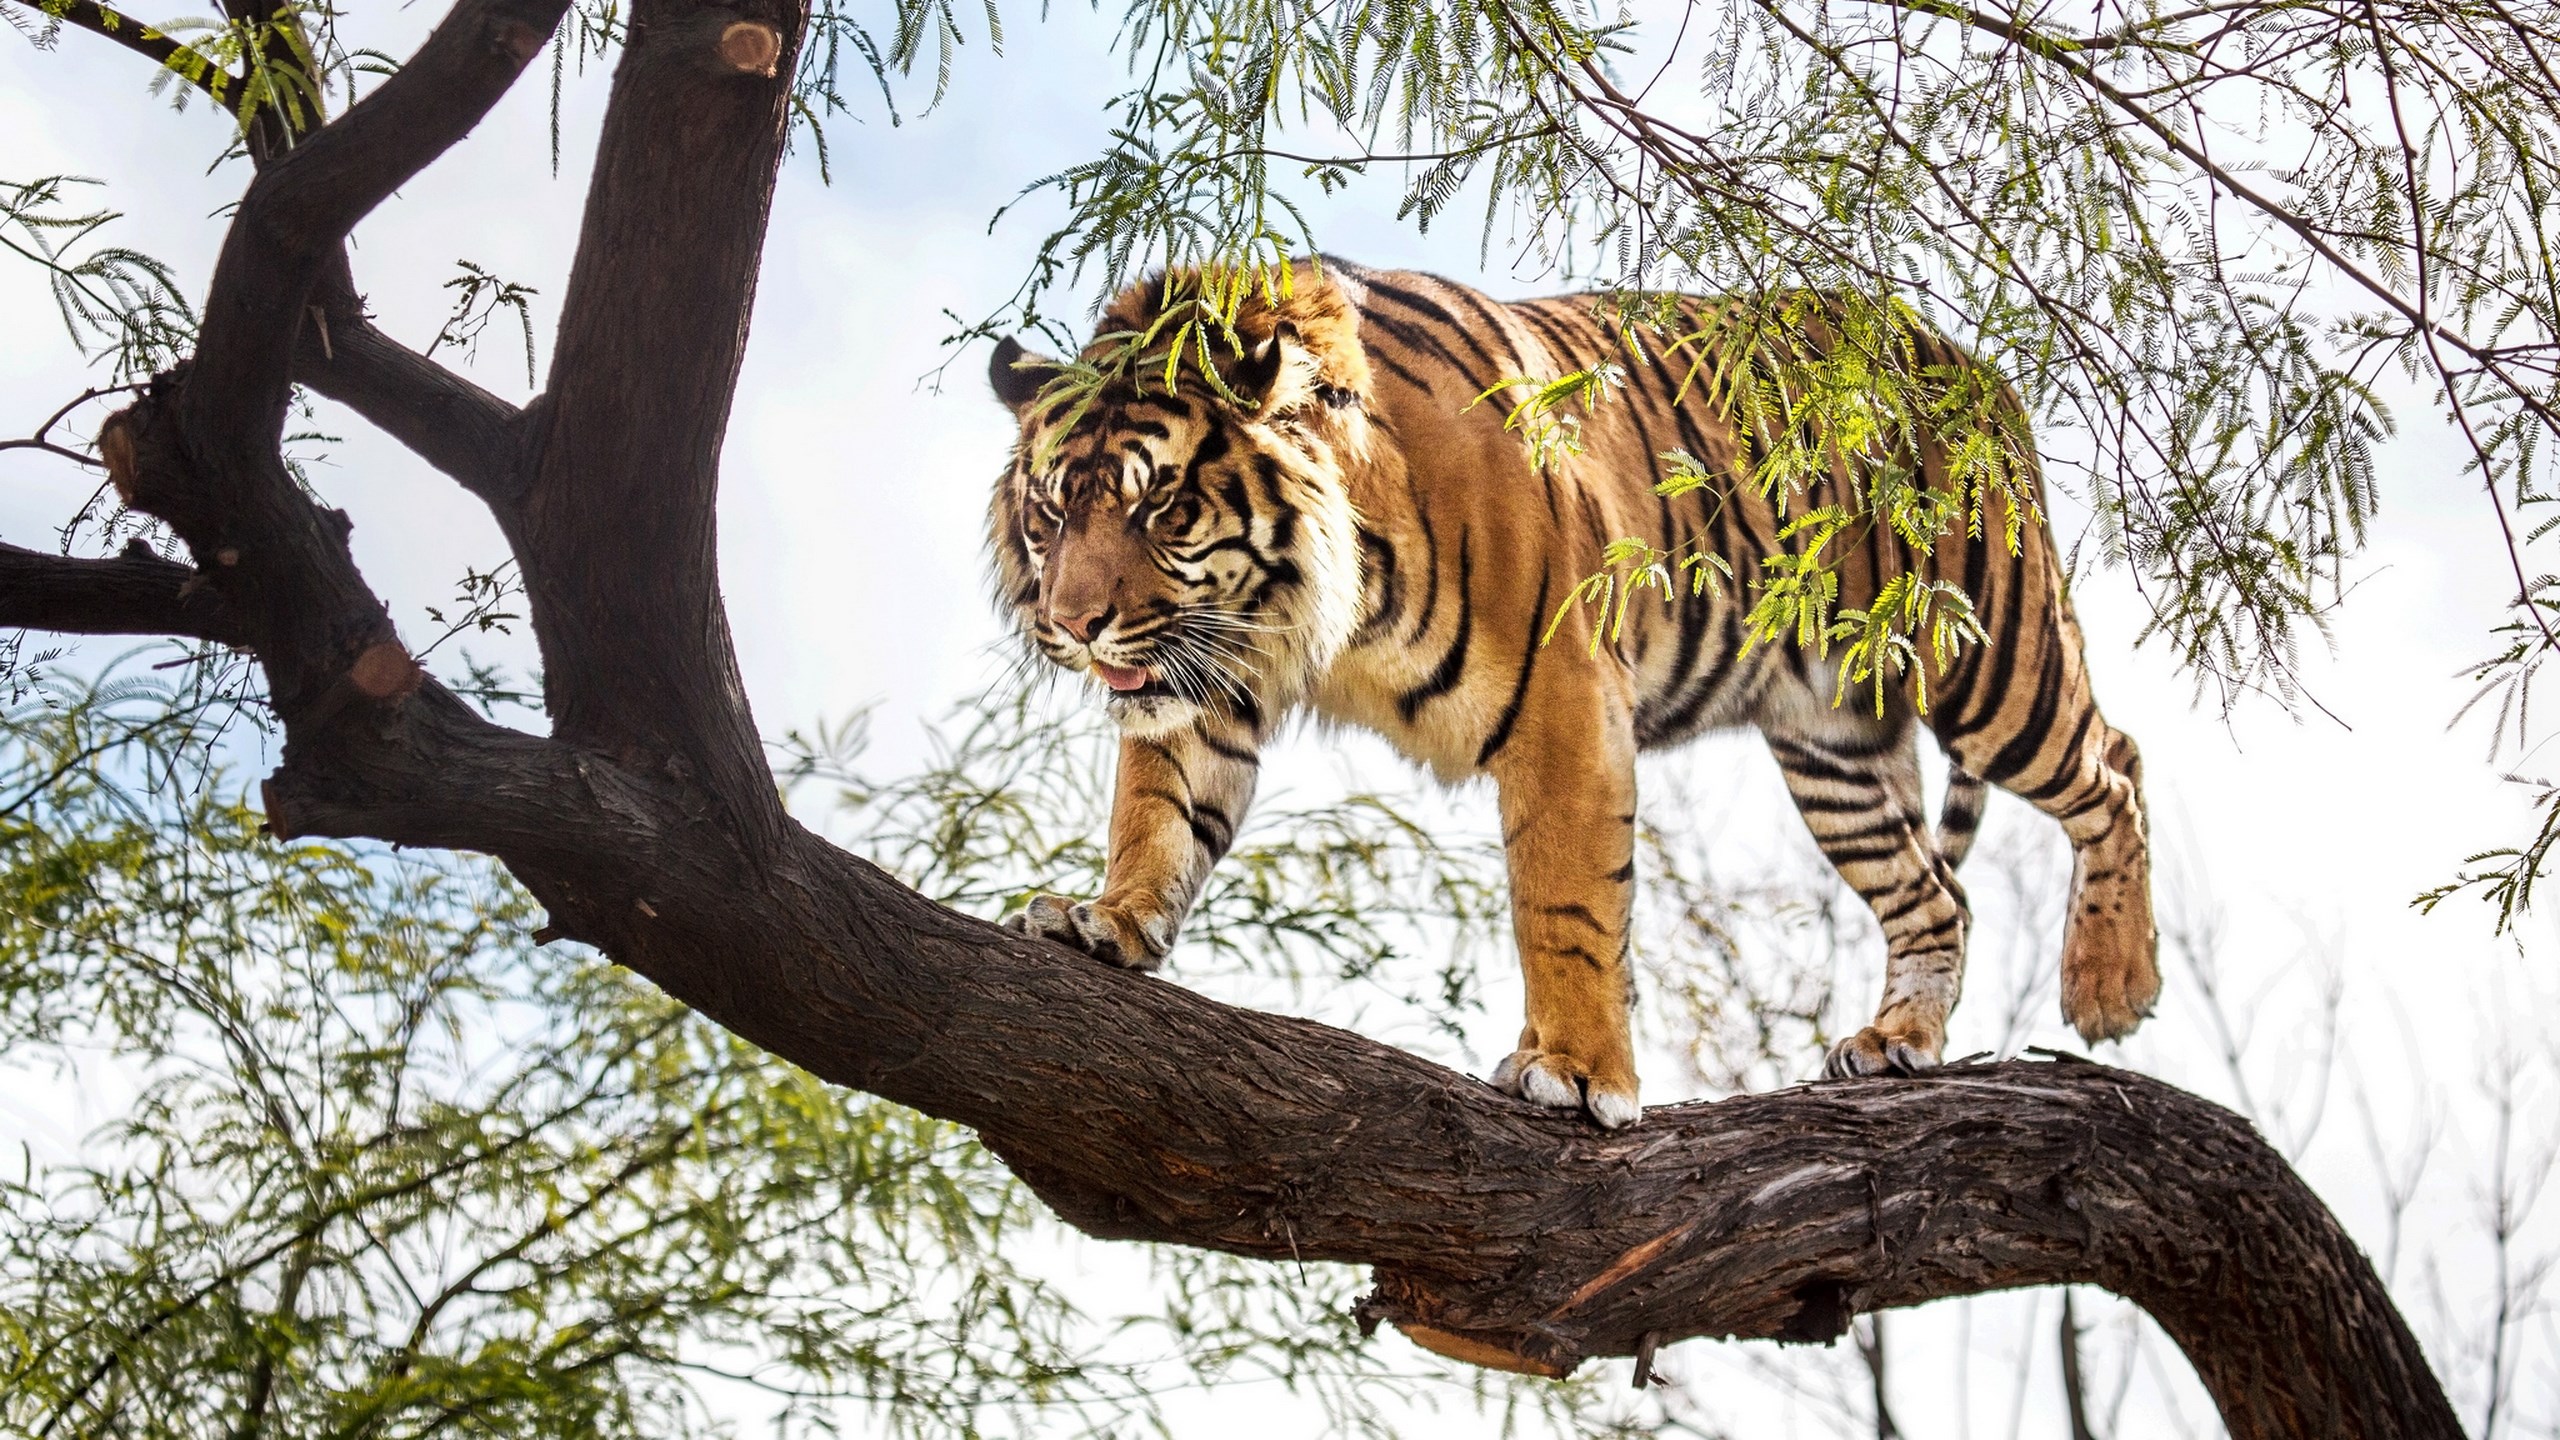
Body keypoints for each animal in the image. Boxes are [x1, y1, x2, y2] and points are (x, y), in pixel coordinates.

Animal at [984, 257, 2158, 1129]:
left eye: (1161, 507)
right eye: (1052, 511)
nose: (1072, 624)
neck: (1311, 606)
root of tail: (1973, 363)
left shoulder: (1564, 707)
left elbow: (1566, 904)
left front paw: (1582, 1075)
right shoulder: (1206, 675)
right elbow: (1157, 814)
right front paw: (1105, 920)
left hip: (1988, 662)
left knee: (2115, 767)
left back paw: (2110, 985)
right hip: (1831, 747)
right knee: (1936, 895)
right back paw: (1898, 1043)